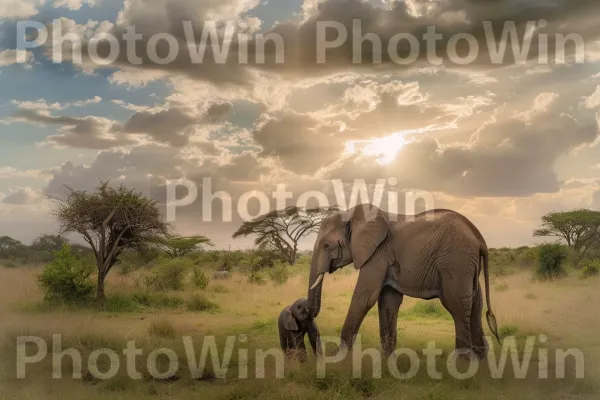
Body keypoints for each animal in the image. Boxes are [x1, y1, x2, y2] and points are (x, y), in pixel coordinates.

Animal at [308, 205, 500, 358]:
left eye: (326, 246)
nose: (321, 354)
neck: (351, 215)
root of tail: (479, 238)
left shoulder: (377, 254)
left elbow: (365, 298)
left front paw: (339, 358)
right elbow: (388, 301)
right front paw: (387, 360)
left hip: (456, 263)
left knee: (457, 306)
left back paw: (462, 363)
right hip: (467, 267)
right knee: (475, 305)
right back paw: (481, 362)